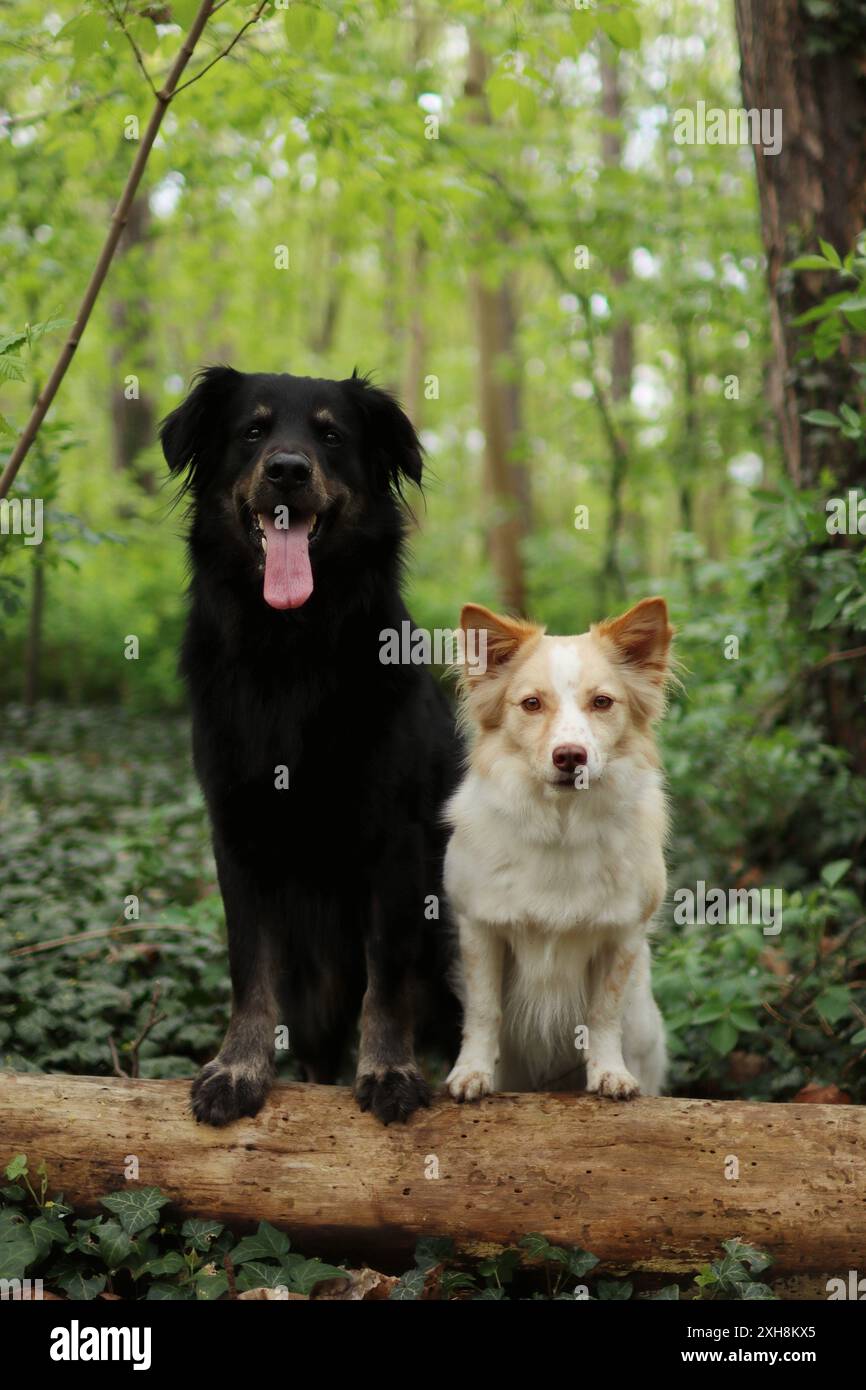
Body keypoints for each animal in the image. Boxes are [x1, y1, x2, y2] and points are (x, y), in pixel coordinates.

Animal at [161, 364, 461, 1123]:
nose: (288, 470)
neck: (290, 646)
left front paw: (388, 1070)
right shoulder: (236, 835)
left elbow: (387, 975)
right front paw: (238, 1067)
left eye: (330, 436)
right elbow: (249, 969)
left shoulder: (395, 842)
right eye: (253, 430)